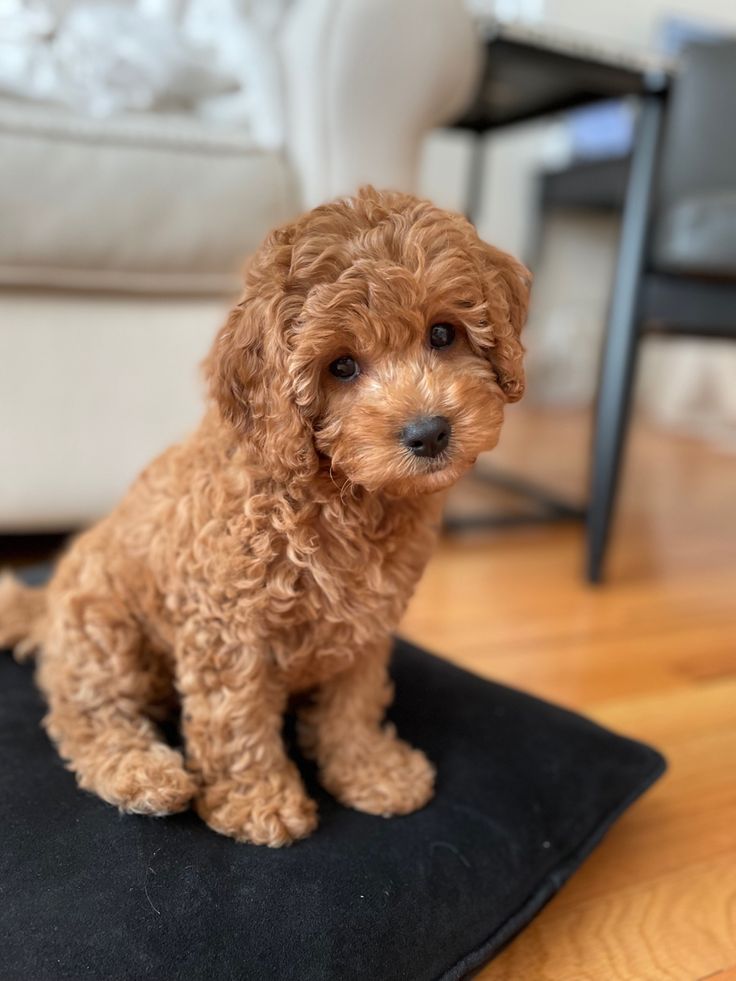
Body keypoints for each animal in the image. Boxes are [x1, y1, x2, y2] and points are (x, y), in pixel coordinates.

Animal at [0, 188, 528, 848]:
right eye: (341, 366)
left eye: (442, 333)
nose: (429, 432)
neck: (343, 494)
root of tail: (45, 606)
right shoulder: (227, 628)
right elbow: (238, 720)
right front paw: (259, 802)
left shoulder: (367, 626)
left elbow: (352, 703)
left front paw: (370, 770)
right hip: (102, 629)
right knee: (85, 715)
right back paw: (143, 773)